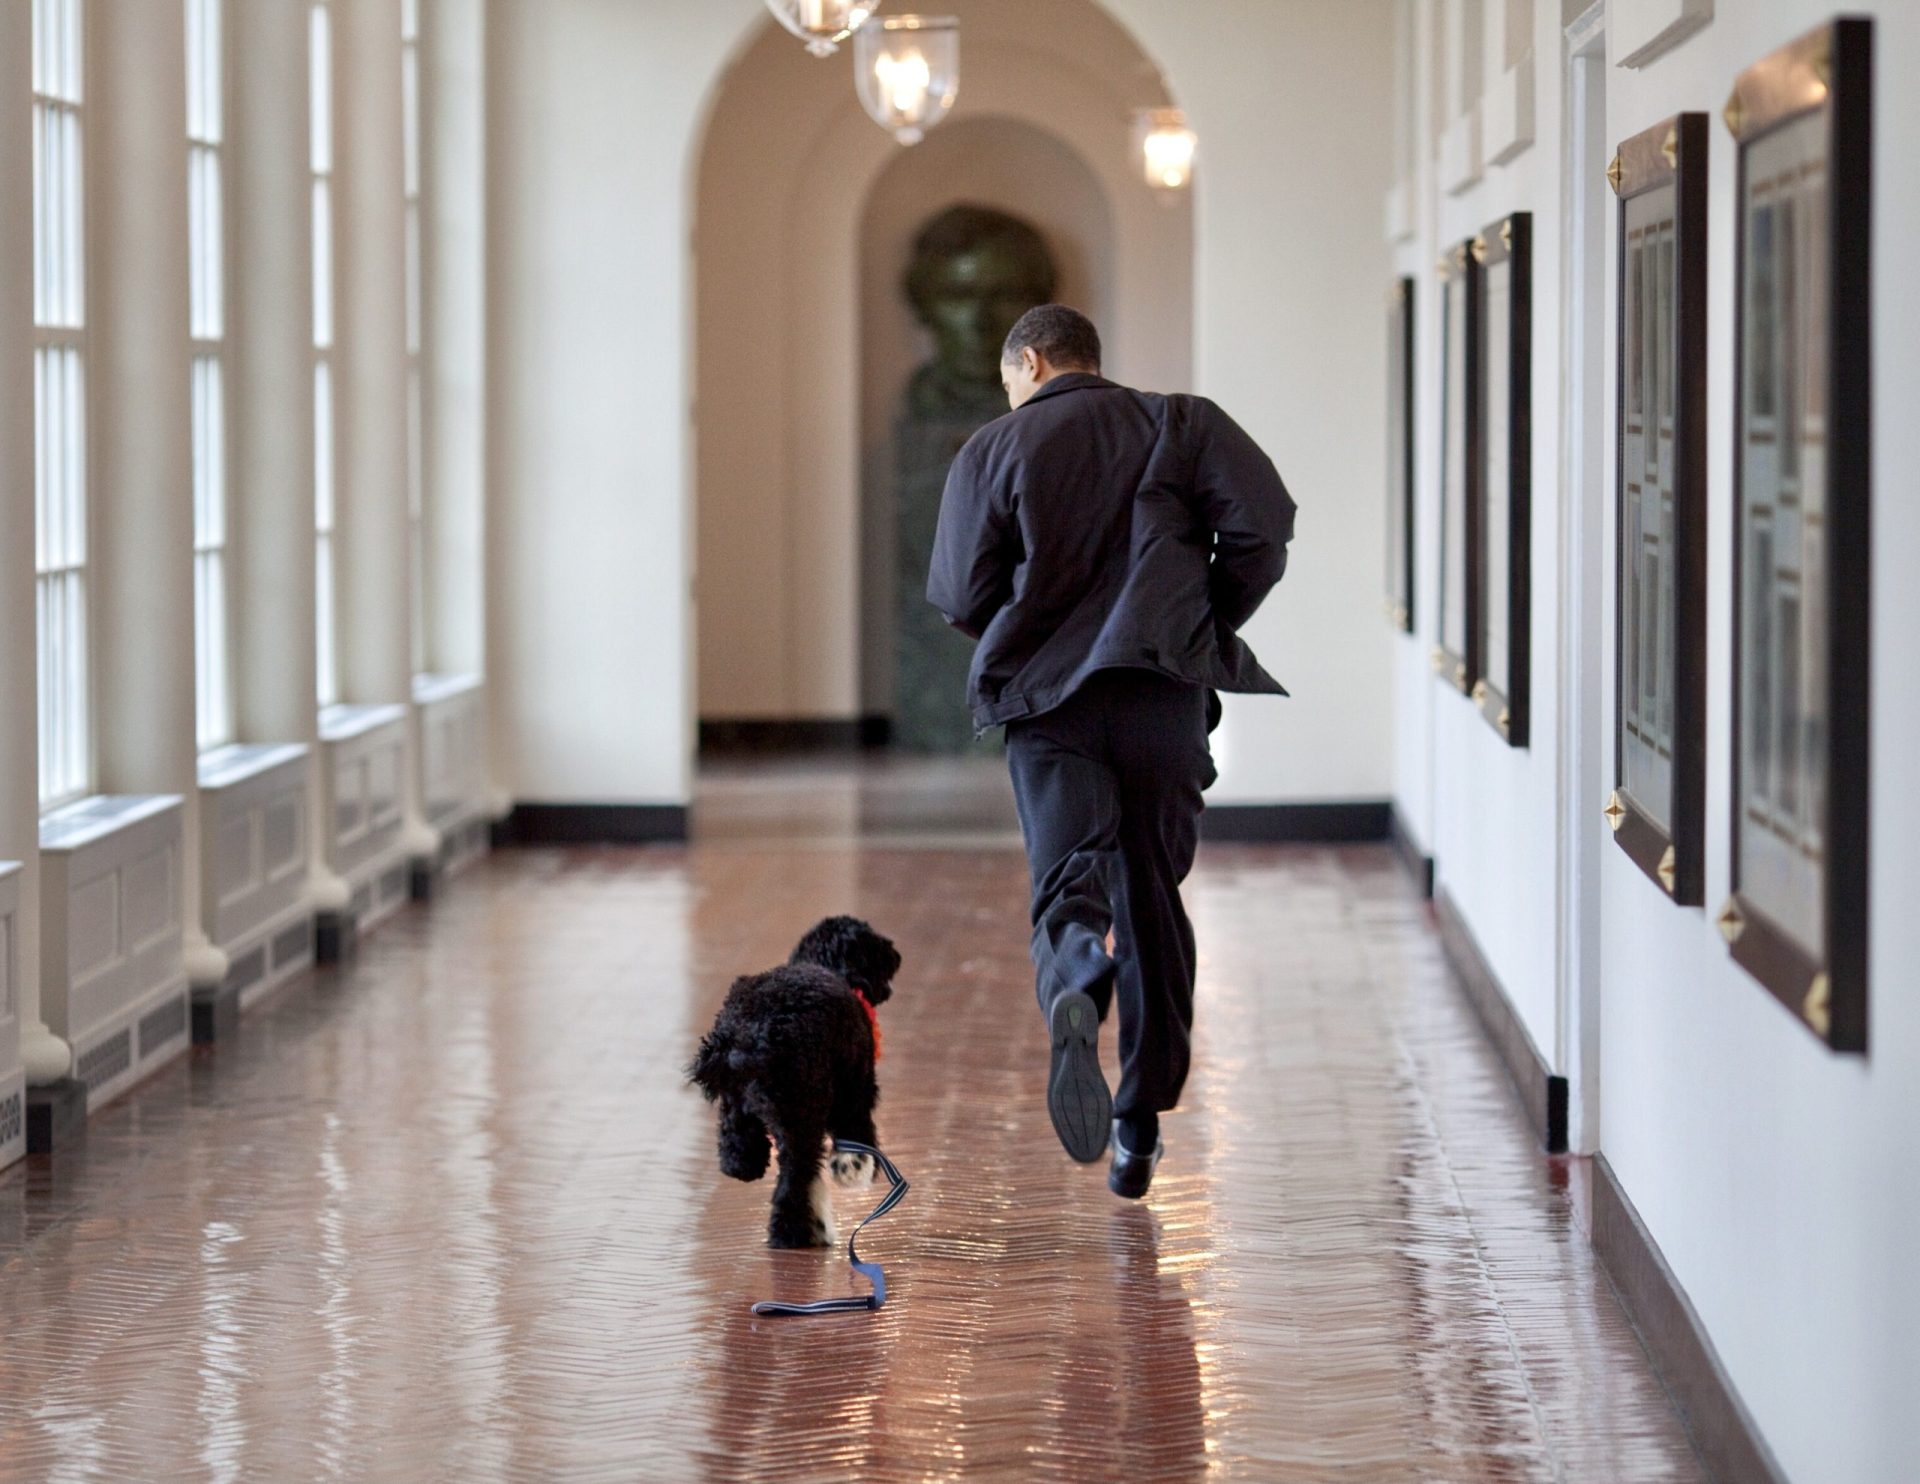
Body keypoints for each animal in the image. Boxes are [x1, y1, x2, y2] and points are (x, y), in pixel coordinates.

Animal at [687, 921, 902, 1244]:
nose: (897, 956)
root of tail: (753, 1035)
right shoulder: (855, 1094)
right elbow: (858, 1140)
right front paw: (853, 1169)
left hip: (740, 1105)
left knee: (737, 1148)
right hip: (803, 1117)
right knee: (794, 1180)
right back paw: (791, 1233)